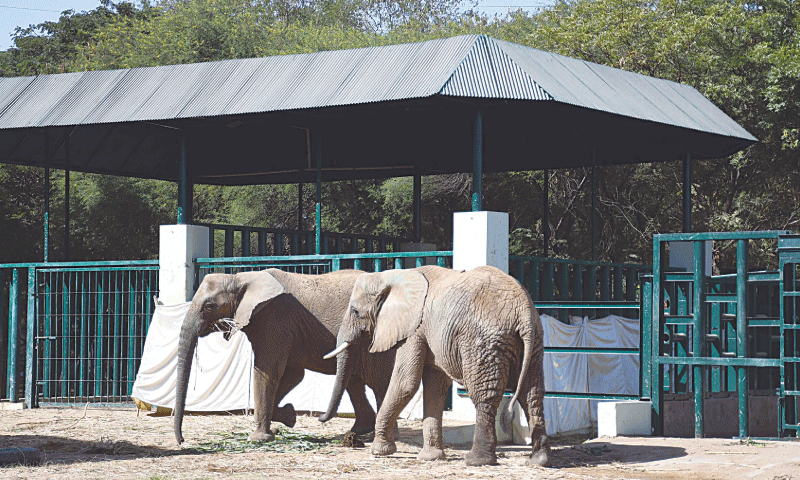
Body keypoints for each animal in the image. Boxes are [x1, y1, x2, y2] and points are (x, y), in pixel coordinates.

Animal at [173, 268, 395, 445]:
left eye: (209, 306)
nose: (182, 440)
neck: (240, 278)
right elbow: (293, 374)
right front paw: (287, 417)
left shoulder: (274, 319)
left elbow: (267, 371)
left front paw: (259, 438)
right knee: (353, 381)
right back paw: (359, 431)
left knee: (375, 381)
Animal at [320, 265, 551, 467]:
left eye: (355, 311)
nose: (322, 419)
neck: (392, 277)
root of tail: (524, 312)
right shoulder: (426, 332)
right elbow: (435, 387)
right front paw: (430, 458)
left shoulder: (414, 328)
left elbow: (406, 383)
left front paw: (379, 451)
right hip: (534, 344)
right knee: (532, 394)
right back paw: (538, 461)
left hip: (484, 343)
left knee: (484, 396)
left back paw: (476, 461)